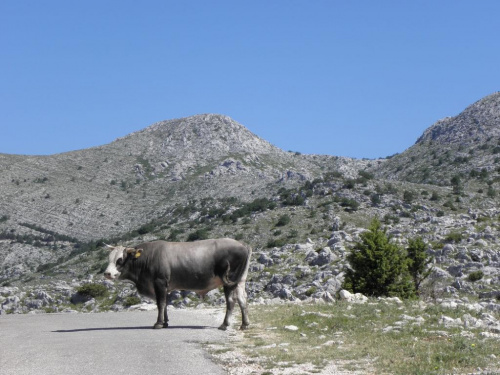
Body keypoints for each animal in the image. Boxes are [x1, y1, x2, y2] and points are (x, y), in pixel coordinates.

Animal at [102, 239, 250, 330]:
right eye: (109, 258)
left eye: (120, 259)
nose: (107, 273)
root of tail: (242, 245)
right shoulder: (164, 287)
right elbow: (165, 304)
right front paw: (165, 322)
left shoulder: (160, 282)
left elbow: (161, 303)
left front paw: (158, 323)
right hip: (240, 281)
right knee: (242, 299)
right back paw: (244, 324)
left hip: (229, 281)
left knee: (231, 300)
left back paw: (224, 324)